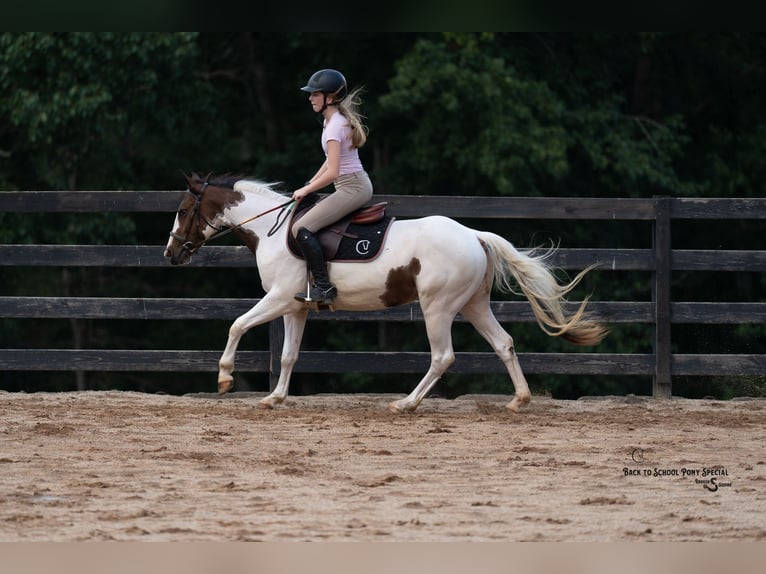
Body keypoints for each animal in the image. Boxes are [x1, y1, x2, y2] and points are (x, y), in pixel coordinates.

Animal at [164, 173, 608, 413]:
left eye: (184, 211)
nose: (171, 254)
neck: (271, 230)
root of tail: (473, 235)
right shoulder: (295, 307)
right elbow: (288, 355)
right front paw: (274, 398)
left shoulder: (278, 299)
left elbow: (237, 325)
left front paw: (224, 379)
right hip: (473, 305)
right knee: (504, 344)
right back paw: (519, 400)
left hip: (438, 307)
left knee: (443, 356)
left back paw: (406, 404)